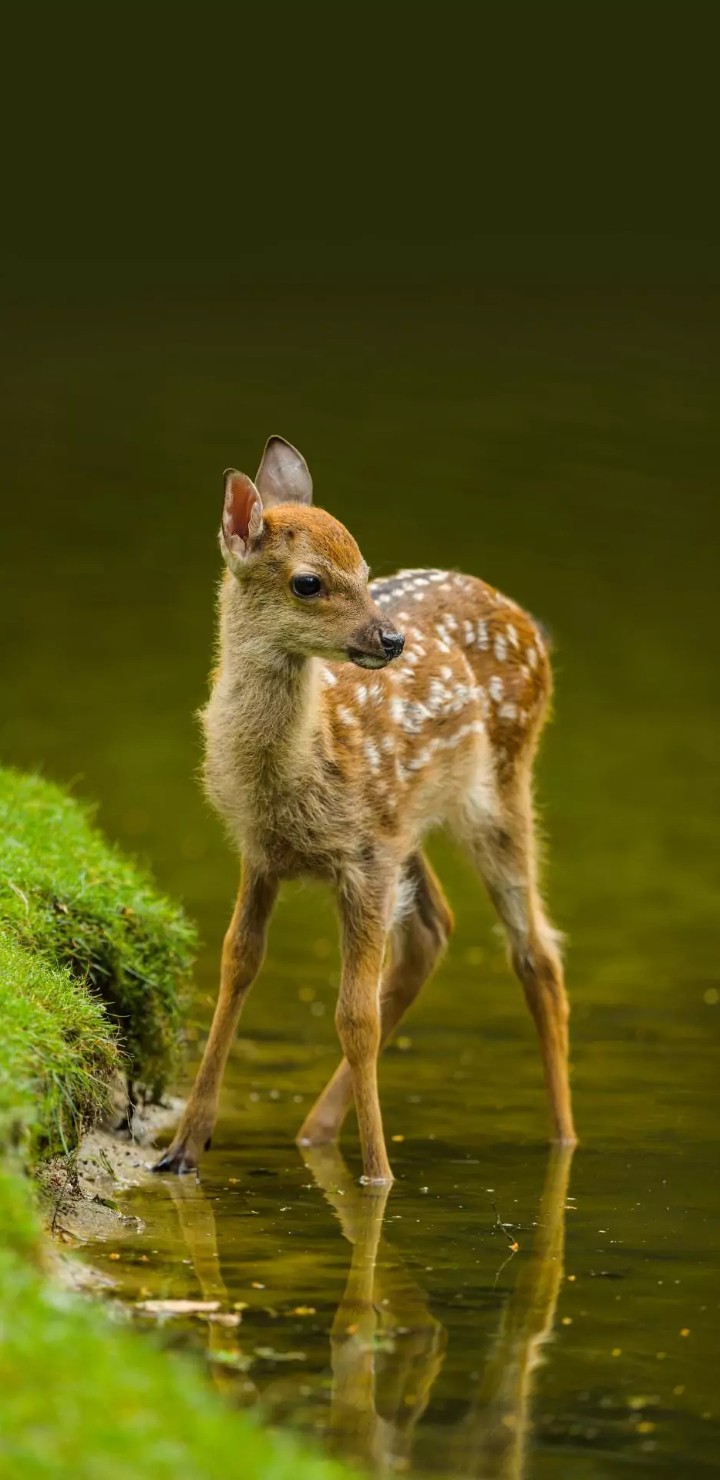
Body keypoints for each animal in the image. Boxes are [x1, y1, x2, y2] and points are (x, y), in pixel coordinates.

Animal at [153, 435, 576, 1184]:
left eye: (365, 568)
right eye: (309, 582)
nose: (391, 640)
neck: (299, 767)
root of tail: (529, 623)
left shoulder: (365, 861)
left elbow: (355, 1018)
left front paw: (379, 1176)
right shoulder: (263, 853)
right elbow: (236, 965)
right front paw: (182, 1148)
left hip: (498, 789)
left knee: (537, 957)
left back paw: (564, 1142)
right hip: (409, 826)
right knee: (436, 930)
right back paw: (312, 1134)